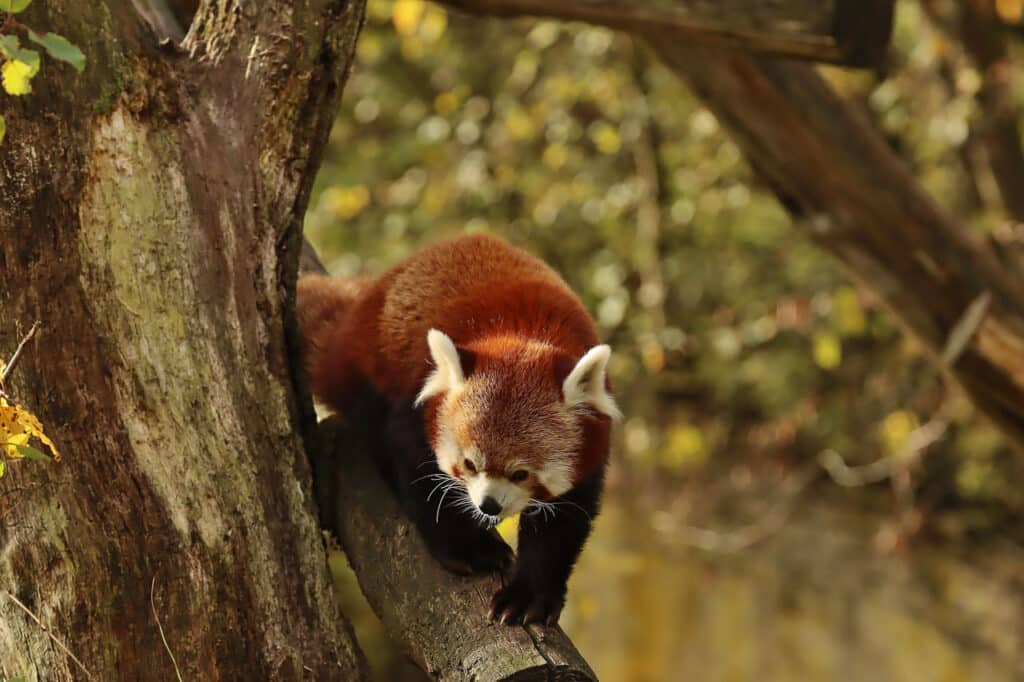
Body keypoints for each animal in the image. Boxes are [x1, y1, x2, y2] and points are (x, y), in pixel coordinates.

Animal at [296, 235, 614, 626]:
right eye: (469, 464)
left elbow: (562, 525)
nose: (488, 506)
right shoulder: (416, 403)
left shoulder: (591, 447)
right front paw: (471, 549)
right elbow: (422, 478)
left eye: (521, 473)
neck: (526, 334)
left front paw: (530, 596)